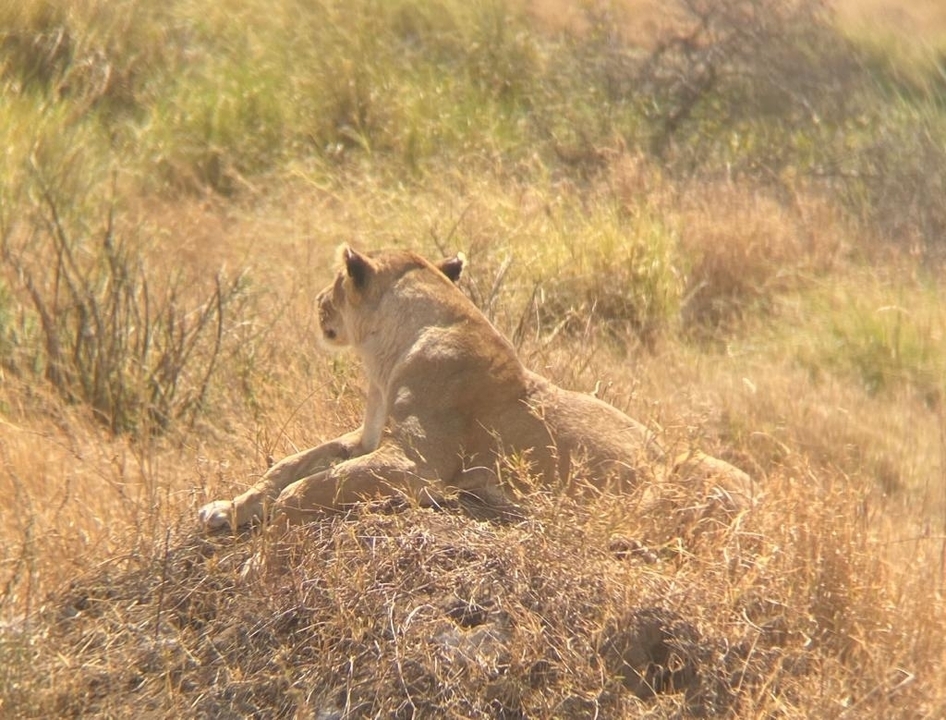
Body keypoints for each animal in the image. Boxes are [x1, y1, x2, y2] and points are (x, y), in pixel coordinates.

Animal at [199, 245, 754, 532]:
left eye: (336, 283)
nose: (317, 302)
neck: (387, 354)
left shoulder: (417, 464)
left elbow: (314, 484)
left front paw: (265, 544)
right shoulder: (367, 438)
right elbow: (291, 465)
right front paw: (227, 508)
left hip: (695, 478)